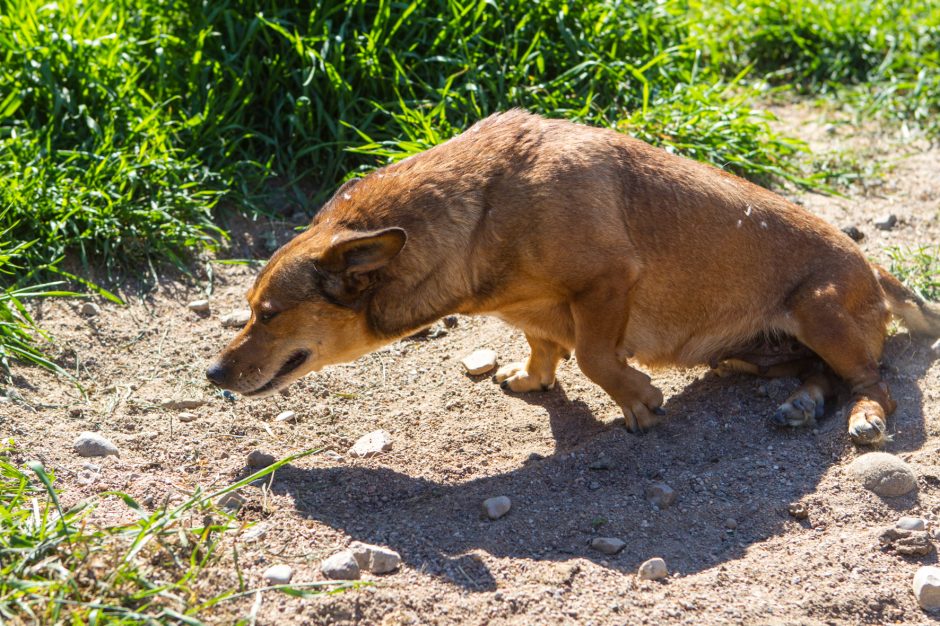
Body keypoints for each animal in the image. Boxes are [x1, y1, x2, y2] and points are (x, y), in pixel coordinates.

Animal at [207, 111, 940, 444]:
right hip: (765, 349)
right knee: (822, 375)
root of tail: (872, 267)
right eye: (248, 308)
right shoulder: (536, 310)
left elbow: (593, 356)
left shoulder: (608, 283)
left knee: (876, 381)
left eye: (268, 314)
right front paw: (534, 378)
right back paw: (803, 401)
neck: (483, 205)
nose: (212, 374)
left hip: (820, 310)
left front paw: (638, 400)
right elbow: (546, 347)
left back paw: (865, 416)